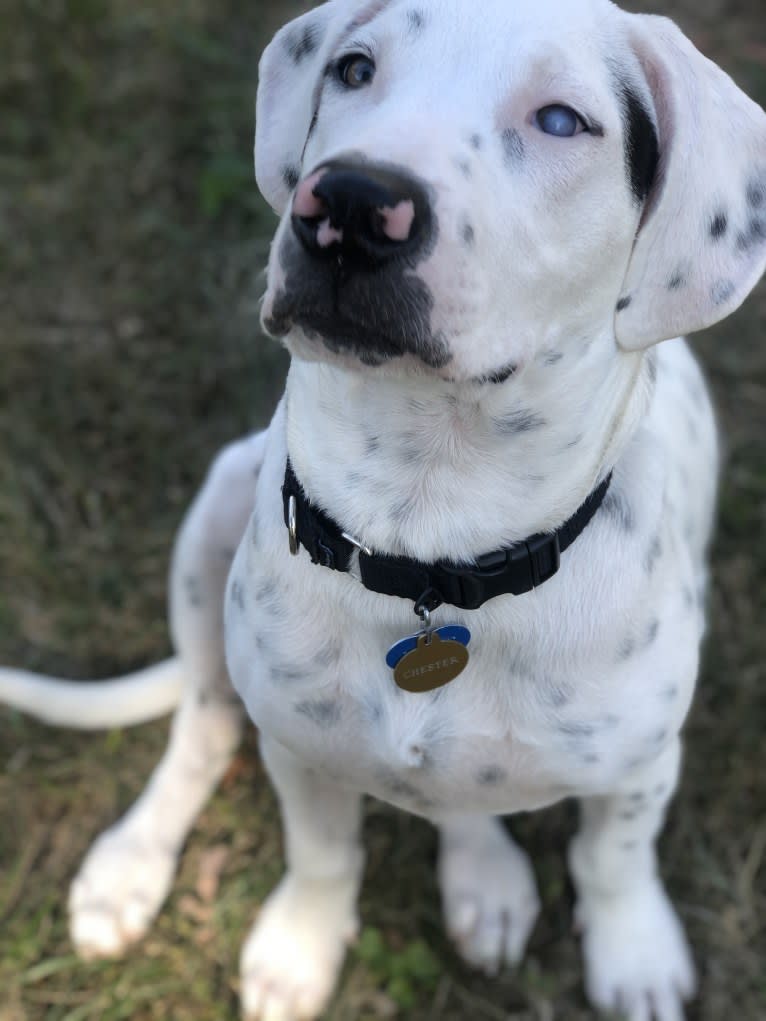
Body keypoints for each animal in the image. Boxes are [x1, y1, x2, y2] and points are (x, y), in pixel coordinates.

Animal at [1, 1, 766, 1021]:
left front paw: (633, 949)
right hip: (216, 512)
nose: (353, 206)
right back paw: (130, 864)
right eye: (356, 68)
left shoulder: (643, 763)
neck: (430, 535)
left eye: (562, 120)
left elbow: (614, 855)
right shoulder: (296, 745)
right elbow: (323, 851)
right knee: (203, 724)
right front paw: (300, 943)